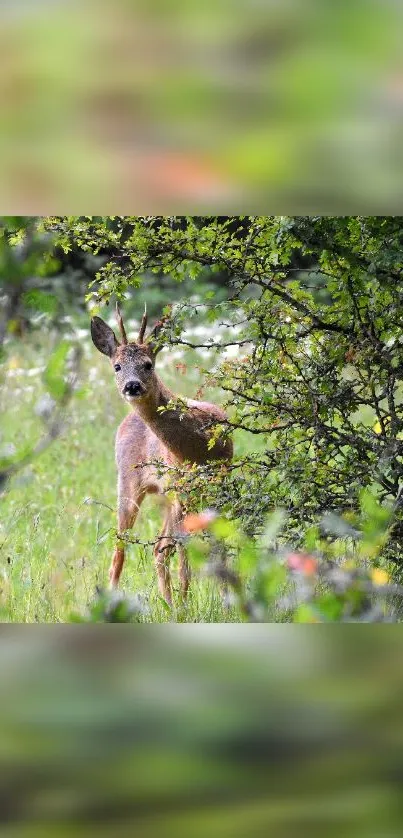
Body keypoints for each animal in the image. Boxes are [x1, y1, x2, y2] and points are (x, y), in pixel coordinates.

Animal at [89, 306, 232, 608]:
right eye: (117, 366)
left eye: (148, 364)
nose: (132, 386)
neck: (198, 446)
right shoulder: (183, 488)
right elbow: (181, 549)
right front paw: (187, 605)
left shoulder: (218, 482)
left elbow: (218, 544)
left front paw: (226, 600)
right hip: (130, 481)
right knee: (124, 547)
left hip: (170, 496)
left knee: (162, 547)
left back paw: (173, 603)